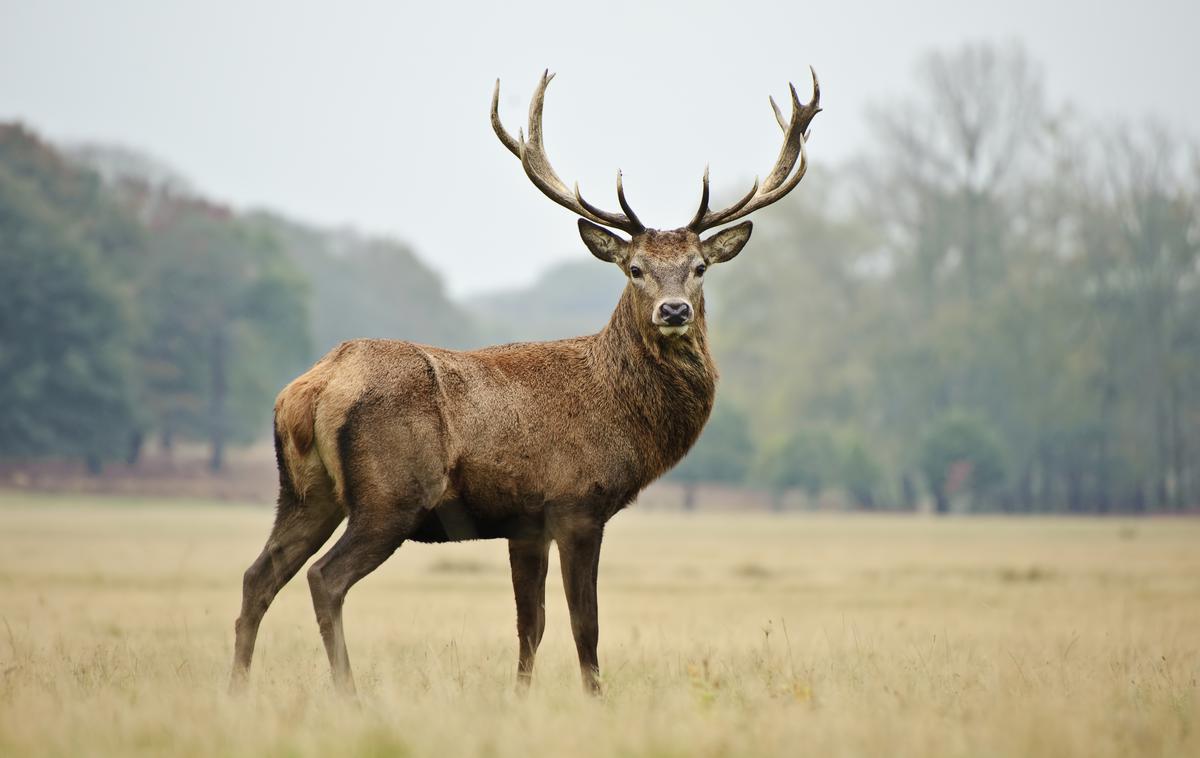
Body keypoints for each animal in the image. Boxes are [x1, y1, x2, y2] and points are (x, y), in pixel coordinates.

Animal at [229, 68, 820, 695]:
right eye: (635, 269)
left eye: (699, 268)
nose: (675, 310)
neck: (622, 413)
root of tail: (311, 389)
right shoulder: (577, 502)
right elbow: (585, 624)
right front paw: (594, 697)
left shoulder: (524, 523)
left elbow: (529, 625)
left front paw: (520, 696)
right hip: (390, 495)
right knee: (325, 578)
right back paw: (348, 693)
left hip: (304, 492)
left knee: (258, 575)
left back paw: (237, 688)